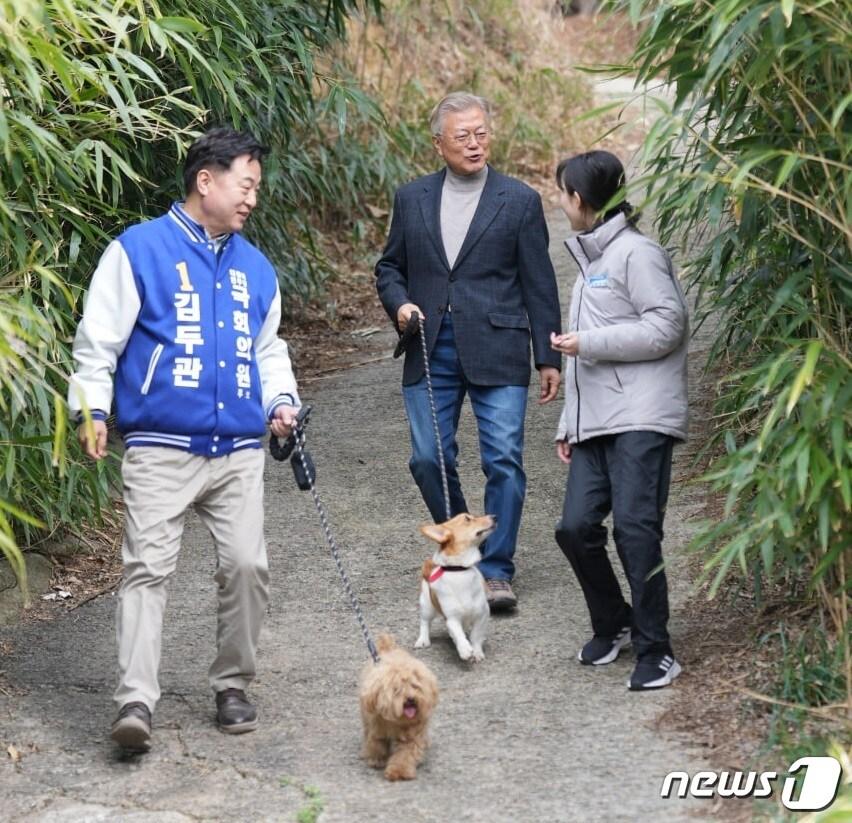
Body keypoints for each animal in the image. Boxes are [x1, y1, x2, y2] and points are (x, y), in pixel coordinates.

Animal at [360, 636, 440, 784]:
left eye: (415, 686)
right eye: (397, 689)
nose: (411, 699)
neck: (397, 721)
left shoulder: (412, 735)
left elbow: (406, 754)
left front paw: (399, 772)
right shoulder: (377, 728)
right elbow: (377, 744)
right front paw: (376, 759)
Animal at [414, 516, 496, 664]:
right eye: (467, 519)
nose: (495, 517)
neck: (459, 571)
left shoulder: (482, 614)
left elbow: (476, 635)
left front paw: (477, 651)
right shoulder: (452, 618)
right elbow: (458, 633)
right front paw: (465, 650)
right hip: (427, 606)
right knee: (425, 623)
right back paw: (423, 640)